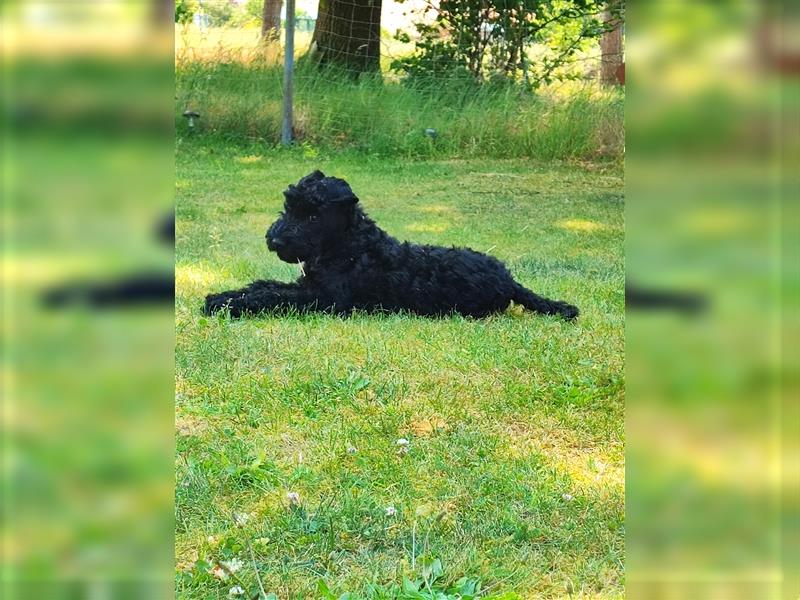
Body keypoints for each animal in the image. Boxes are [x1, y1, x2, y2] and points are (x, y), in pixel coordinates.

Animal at [205, 171, 580, 322]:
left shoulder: (325, 299)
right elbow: (265, 286)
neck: (349, 246)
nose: (275, 239)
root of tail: (510, 280)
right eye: (288, 204)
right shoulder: (307, 285)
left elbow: (273, 296)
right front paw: (222, 297)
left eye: (312, 214)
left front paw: (228, 305)